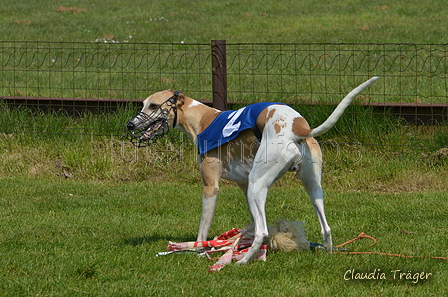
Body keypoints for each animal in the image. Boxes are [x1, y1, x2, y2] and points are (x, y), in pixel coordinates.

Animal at [125, 76, 378, 264]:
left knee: (263, 230)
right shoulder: (244, 186)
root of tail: (299, 127)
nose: (130, 125)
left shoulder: (212, 187)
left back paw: (243, 261)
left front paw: (198, 250)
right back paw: (326, 253)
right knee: (325, 226)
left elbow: (203, 231)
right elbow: (251, 223)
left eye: (153, 105)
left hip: (259, 184)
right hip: (310, 186)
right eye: (143, 103)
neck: (203, 120)